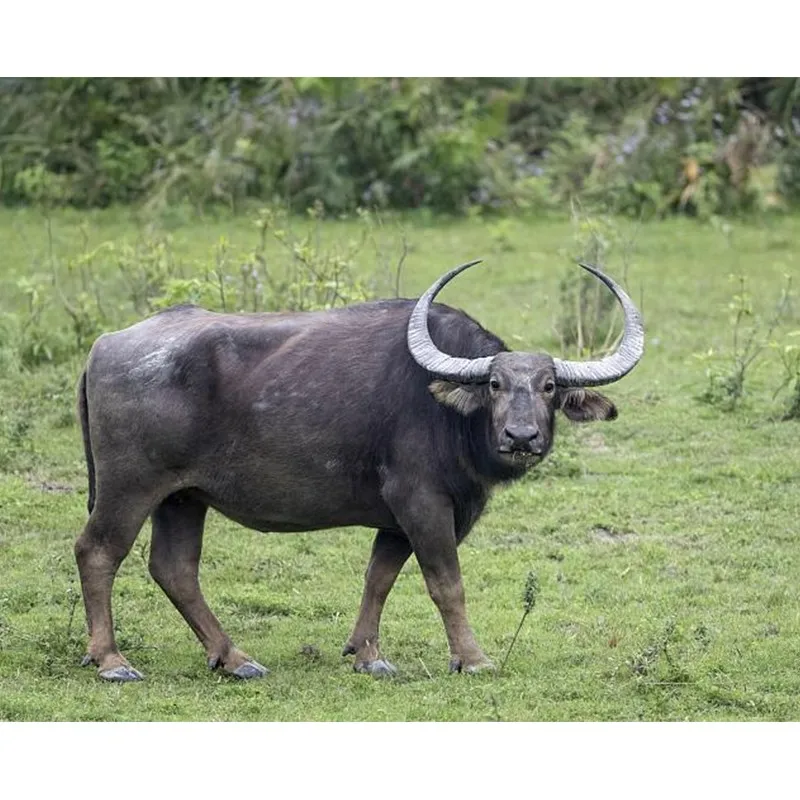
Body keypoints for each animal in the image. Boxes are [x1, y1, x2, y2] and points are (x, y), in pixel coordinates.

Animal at [74, 260, 643, 681]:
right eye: (495, 385)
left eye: (548, 387)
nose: (521, 437)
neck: (446, 412)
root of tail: (104, 344)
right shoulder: (423, 503)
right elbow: (446, 583)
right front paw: (473, 658)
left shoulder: (396, 520)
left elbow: (379, 577)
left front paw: (368, 654)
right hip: (130, 487)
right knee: (98, 552)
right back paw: (112, 661)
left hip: (183, 497)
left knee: (174, 569)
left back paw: (235, 659)